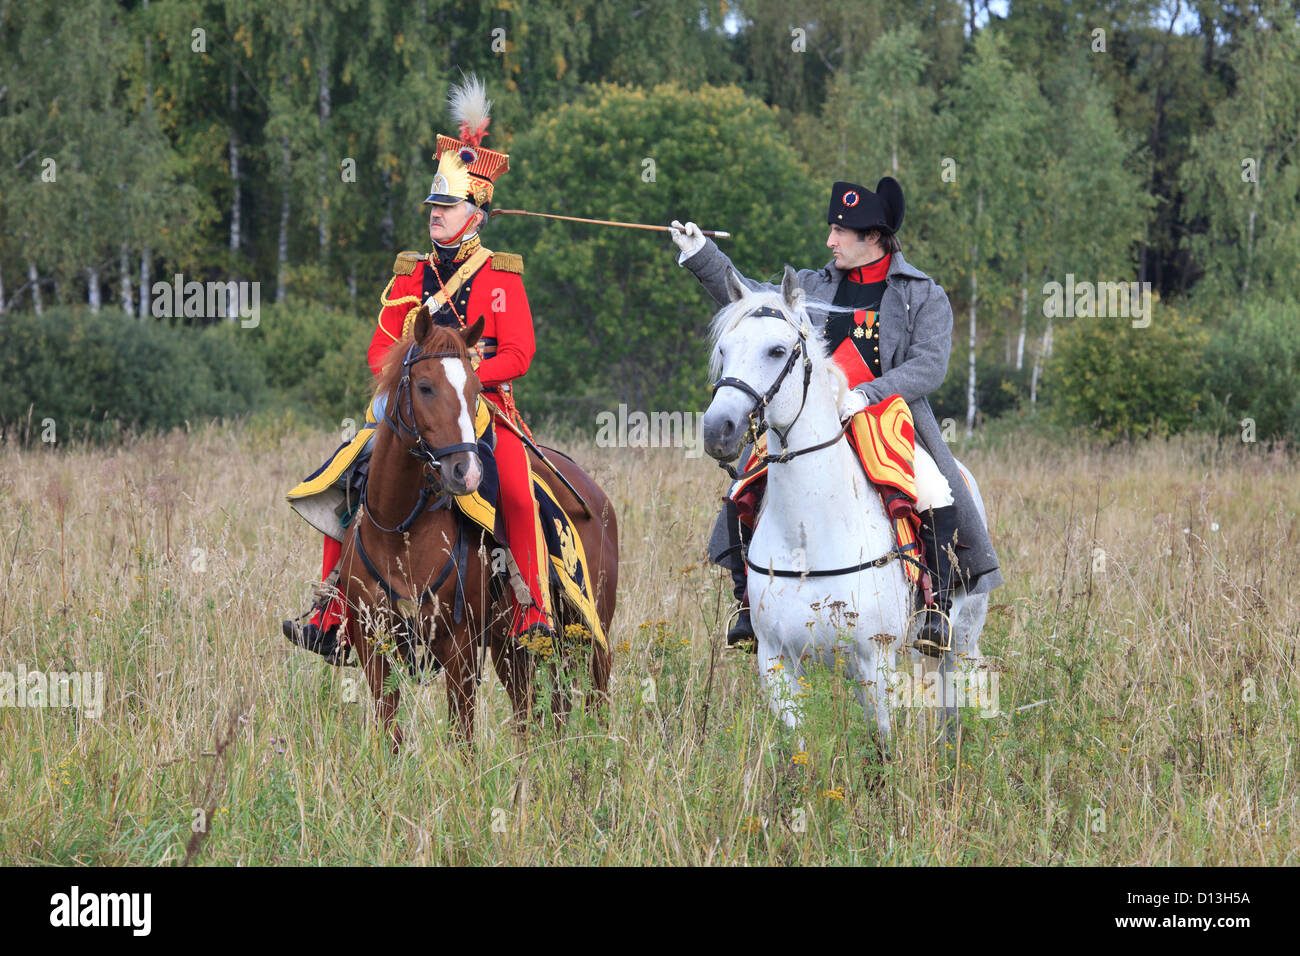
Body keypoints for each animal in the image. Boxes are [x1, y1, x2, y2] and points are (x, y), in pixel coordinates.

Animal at [338, 303, 616, 749]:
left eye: (474, 392)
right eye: (425, 387)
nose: (465, 472)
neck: (401, 529)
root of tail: (597, 497)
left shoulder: (461, 646)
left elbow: (462, 737)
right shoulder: (373, 641)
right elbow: (389, 730)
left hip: (589, 631)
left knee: (593, 701)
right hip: (513, 647)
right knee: (537, 712)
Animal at [707, 269, 987, 749]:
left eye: (776, 350)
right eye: (724, 349)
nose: (716, 430)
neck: (808, 534)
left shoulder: (875, 659)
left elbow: (885, 744)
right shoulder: (776, 662)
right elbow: (798, 749)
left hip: (962, 636)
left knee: (954, 701)